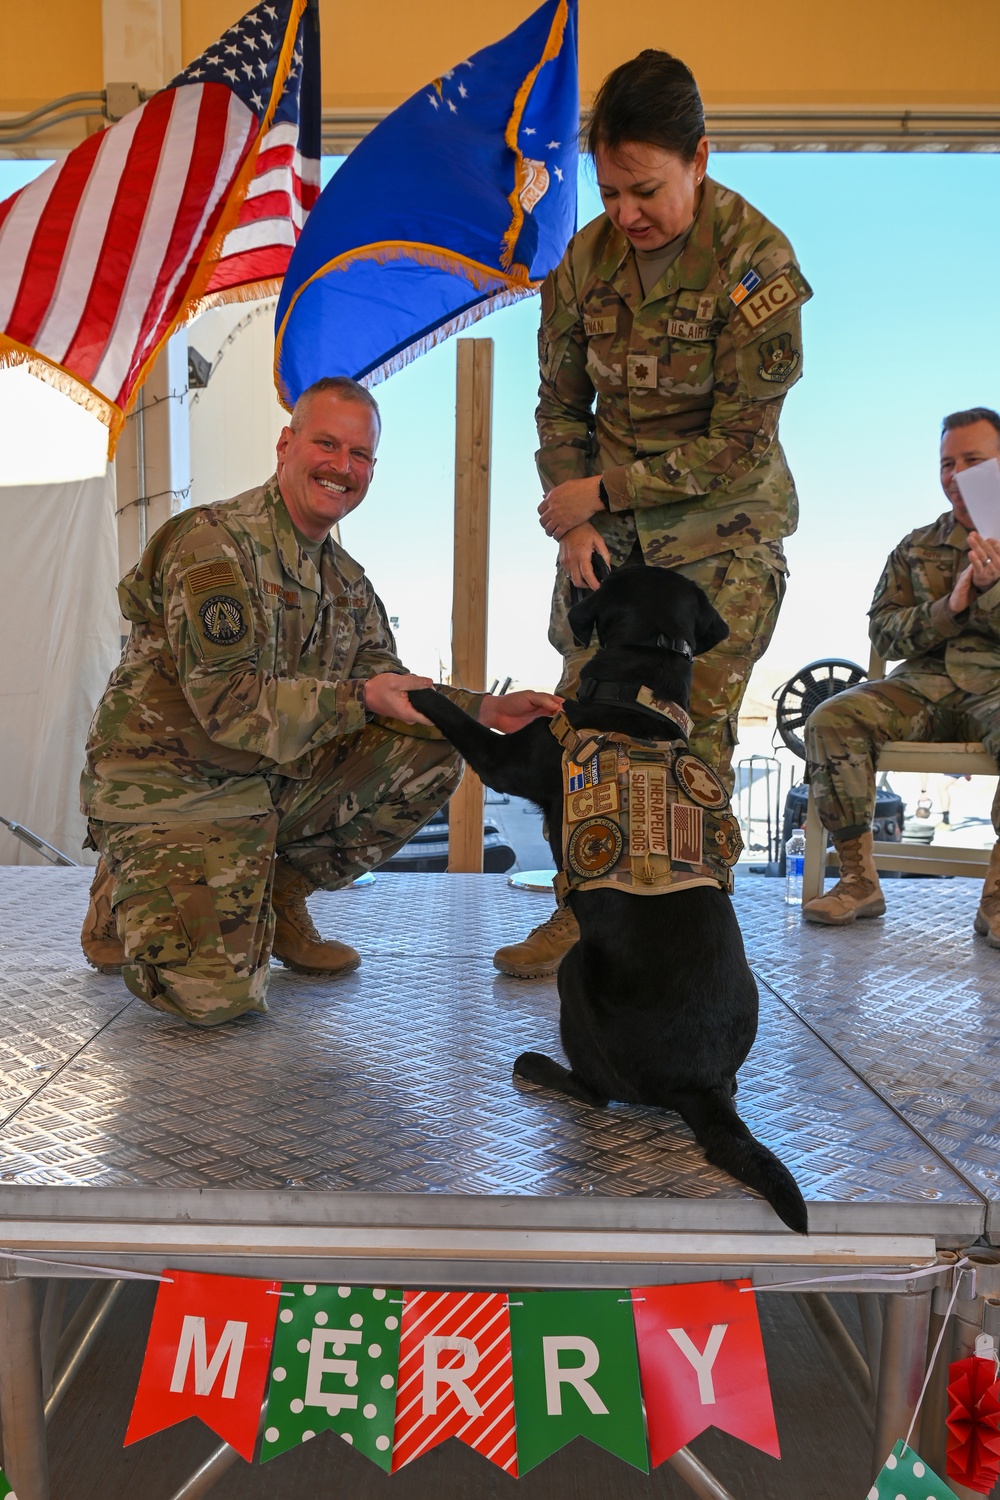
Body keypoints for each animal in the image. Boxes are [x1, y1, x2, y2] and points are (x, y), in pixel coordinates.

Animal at [410, 567, 809, 1236]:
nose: (581, 569)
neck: (639, 686)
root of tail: (701, 1088)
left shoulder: (506, 761)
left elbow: (461, 723)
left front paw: (414, 690)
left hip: (574, 976)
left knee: (596, 1092)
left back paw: (537, 1066)